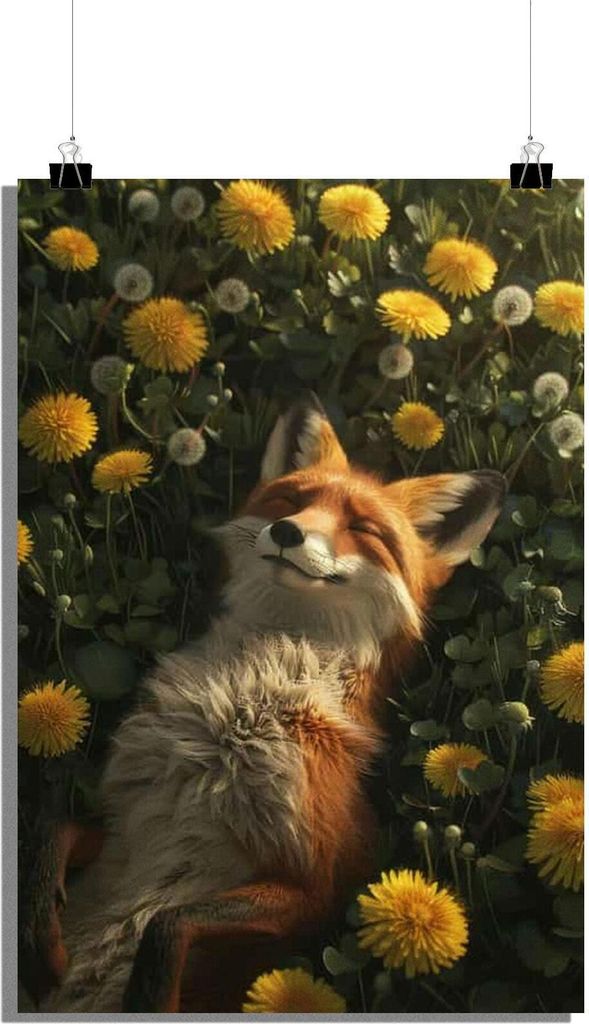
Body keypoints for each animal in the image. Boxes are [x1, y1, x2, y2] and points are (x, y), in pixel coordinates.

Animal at [19, 393, 506, 1013]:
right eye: (291, 501)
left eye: (362, 528)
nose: (287, 531)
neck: (236, 716)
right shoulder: (124, 827)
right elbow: (52, 832)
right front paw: (40, 936)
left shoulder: (314, 884)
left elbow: (168, 924)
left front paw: (145, 994)